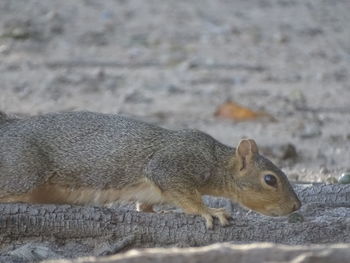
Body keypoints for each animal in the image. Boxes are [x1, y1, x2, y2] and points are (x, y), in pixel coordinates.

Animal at [0, 111, 300, 229]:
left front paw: (160, 212)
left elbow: (146, 206)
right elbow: (185, 194)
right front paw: (209, 211)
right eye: (270, 179)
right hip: (23, 171)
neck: (215, 160)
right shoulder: (172, 164)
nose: (297, 206)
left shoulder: (152, 192)